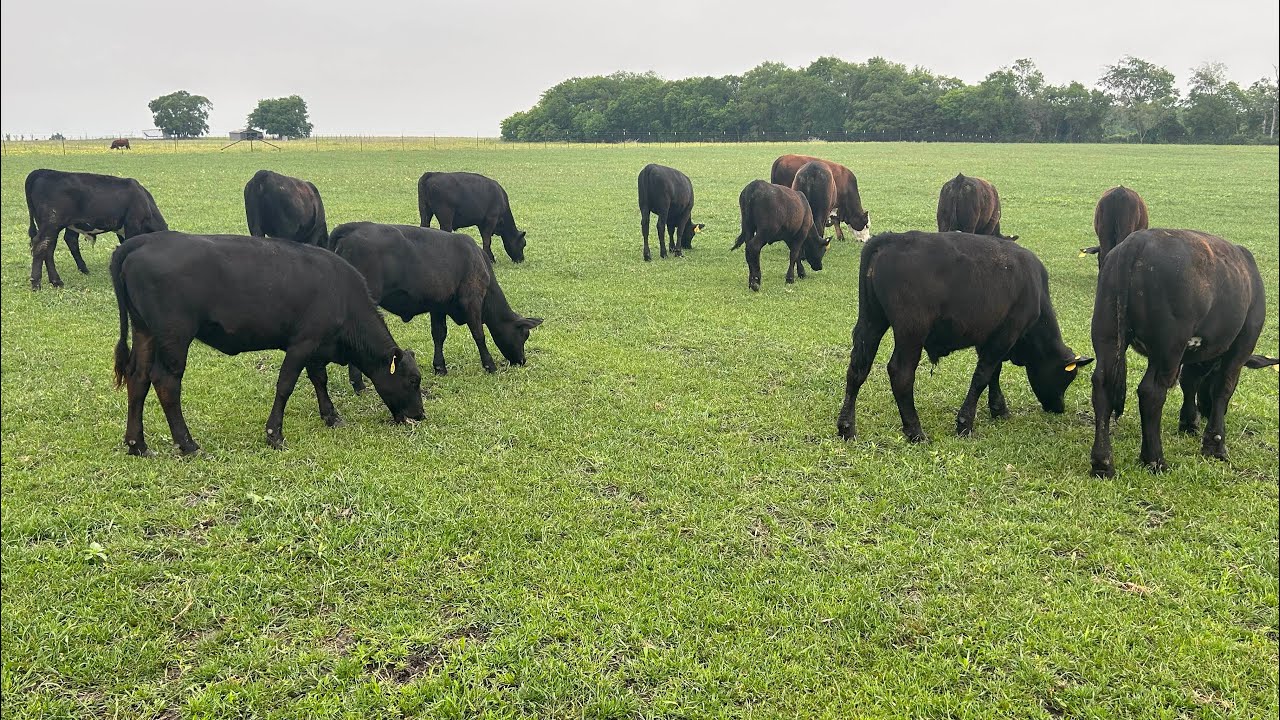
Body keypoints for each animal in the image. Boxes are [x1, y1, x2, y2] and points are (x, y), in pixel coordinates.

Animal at [25, 168, 168, 290]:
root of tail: (42, 171)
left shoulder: (122, 230)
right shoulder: (133, 224)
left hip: (50, 227)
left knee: (49, 249)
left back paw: (56, 281)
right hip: (51, 223)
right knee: (40, 246)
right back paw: (37, 284)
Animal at [110, 232, 424, 455]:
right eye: (412, 381)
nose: (420, 415)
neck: (343, 296)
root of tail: (143, 240)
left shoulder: (316, 349)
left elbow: (319, 379)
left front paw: (331, 416)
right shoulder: (302, 343)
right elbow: (285, 385)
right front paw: (275, 434)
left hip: (145, 331)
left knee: (138, 378)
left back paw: (137, 444)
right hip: (174, 337)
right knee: (166, 382)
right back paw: (188, 445)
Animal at [331, 222, 543, 382]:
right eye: (524, 335)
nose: (522, 360)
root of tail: (354, 229)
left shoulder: (438, 305)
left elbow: (439, 334)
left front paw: (440, 367)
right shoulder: (472, 300)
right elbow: (479, 334)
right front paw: (489, 365)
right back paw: (358, 383)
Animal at [836, 231, 1090, 443]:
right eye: (1067, 377)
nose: (1059, 408)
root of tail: (892, 238)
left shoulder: (989, 337)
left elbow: (993, 373)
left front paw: (998, 409)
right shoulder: (1007, 333)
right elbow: (982, 377)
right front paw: (965, 423)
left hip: (871, 322)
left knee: (858, 369)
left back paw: (846, 427)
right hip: (911, 332)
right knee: (901, 374)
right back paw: (915, 431)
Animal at [1088, 229, 1275, 477]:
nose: (1204, 409)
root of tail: (1136, 241)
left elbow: (1190, 381)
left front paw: (1189, 422)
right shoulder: (1241, 346)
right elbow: (1222, 388)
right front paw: (1215, 444)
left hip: (1108, 335)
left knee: (1103, 385)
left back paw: (1102, 462)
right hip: (1168, 349)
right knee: (1151, 393)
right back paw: (1154, 459)